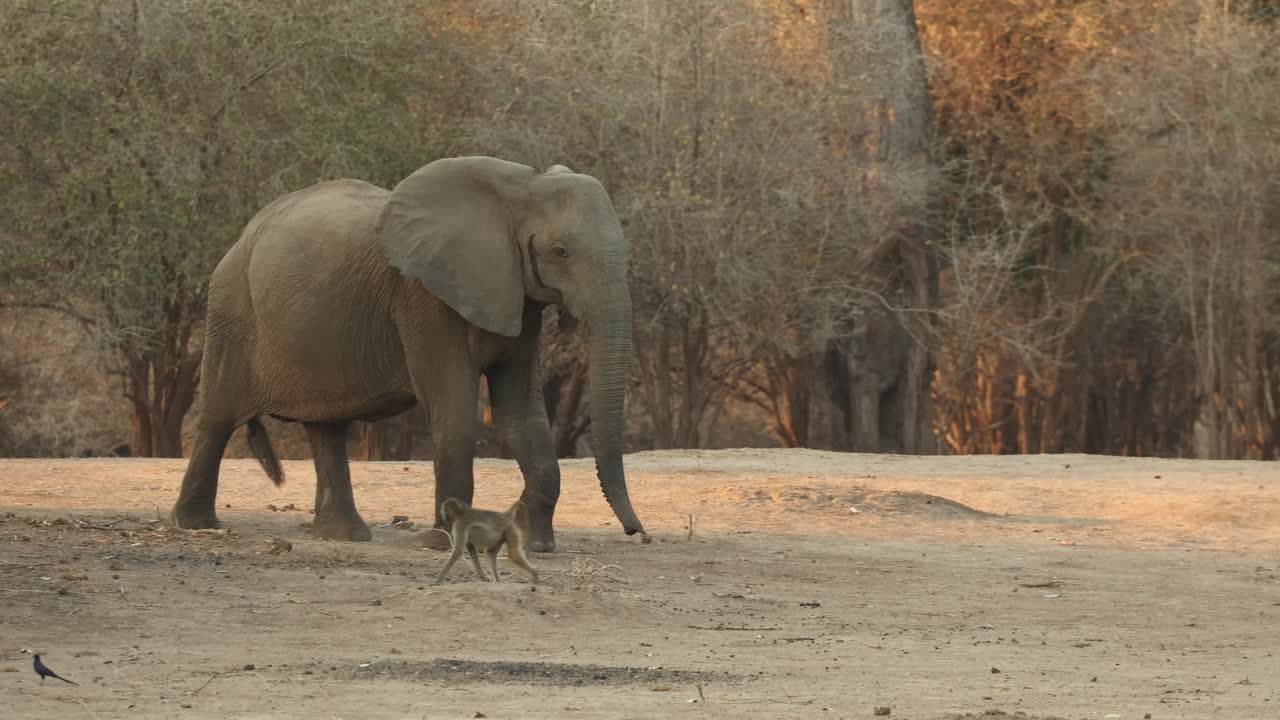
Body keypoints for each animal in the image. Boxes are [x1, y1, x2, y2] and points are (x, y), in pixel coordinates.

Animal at [170, 156, 648, 552]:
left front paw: (539, 546)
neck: (519, 187)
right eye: (560, 252)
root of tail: (244, 233)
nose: (637, 532)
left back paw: (343, 535)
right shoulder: (423, 299)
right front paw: (443, 544)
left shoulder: (519, 298)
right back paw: (197, 525)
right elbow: (453, 409)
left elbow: (521, 414)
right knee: (218, 417)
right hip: (231, 307)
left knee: (327, 427)